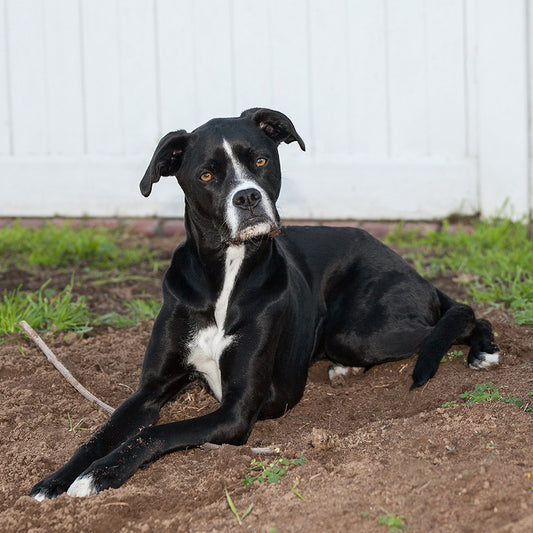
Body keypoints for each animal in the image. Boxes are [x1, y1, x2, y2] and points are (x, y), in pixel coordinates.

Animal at [30, 108, 498, 498]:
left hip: (359, 333)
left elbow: (154, 435)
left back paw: (484, 351)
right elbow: (101, 434)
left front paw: (99, 475)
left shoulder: (236, 410)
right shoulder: (151, 389)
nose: (248, 197)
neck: (226, 275)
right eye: (206, 176)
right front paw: (57, 479)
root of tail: (411, 269)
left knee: (462, 315)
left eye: (259, 161)